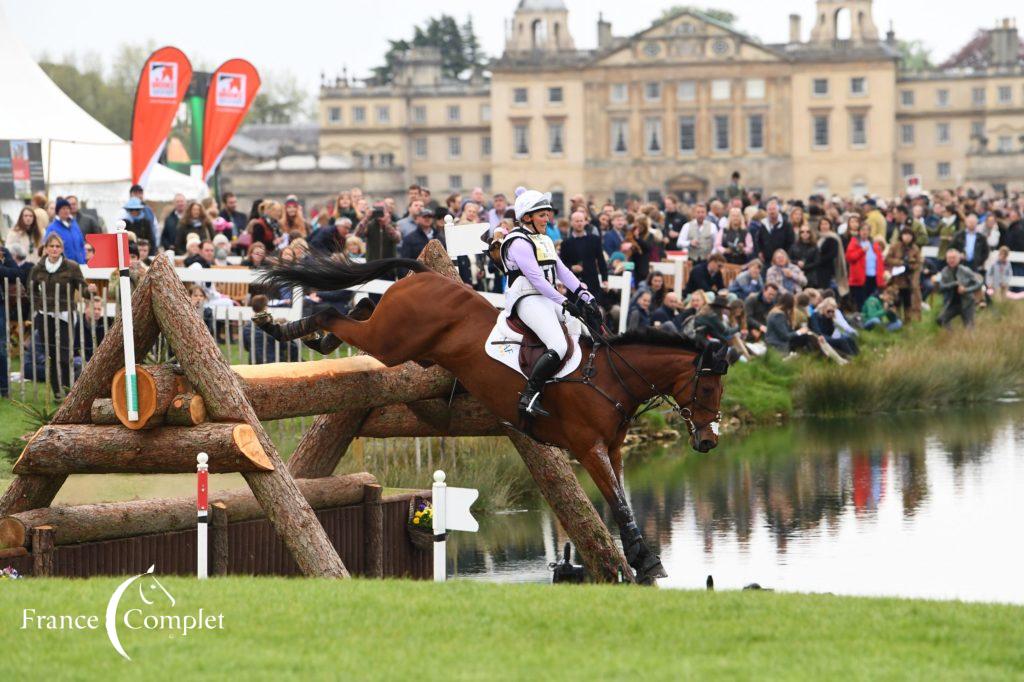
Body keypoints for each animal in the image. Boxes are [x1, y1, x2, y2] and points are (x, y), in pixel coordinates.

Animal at [260, 251, 733, 581]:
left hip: (406, 346)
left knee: (359, 304)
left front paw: (641, 558)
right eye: (709, 388)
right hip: (391, 342)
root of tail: (425, 273)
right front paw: (645, 560)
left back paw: (313, 337)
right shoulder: (589, 448)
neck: (612, 378)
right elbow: (617, 502)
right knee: (335, 313)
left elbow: (624, 501)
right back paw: (282, 328)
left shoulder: (612, 450)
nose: (709, 441)